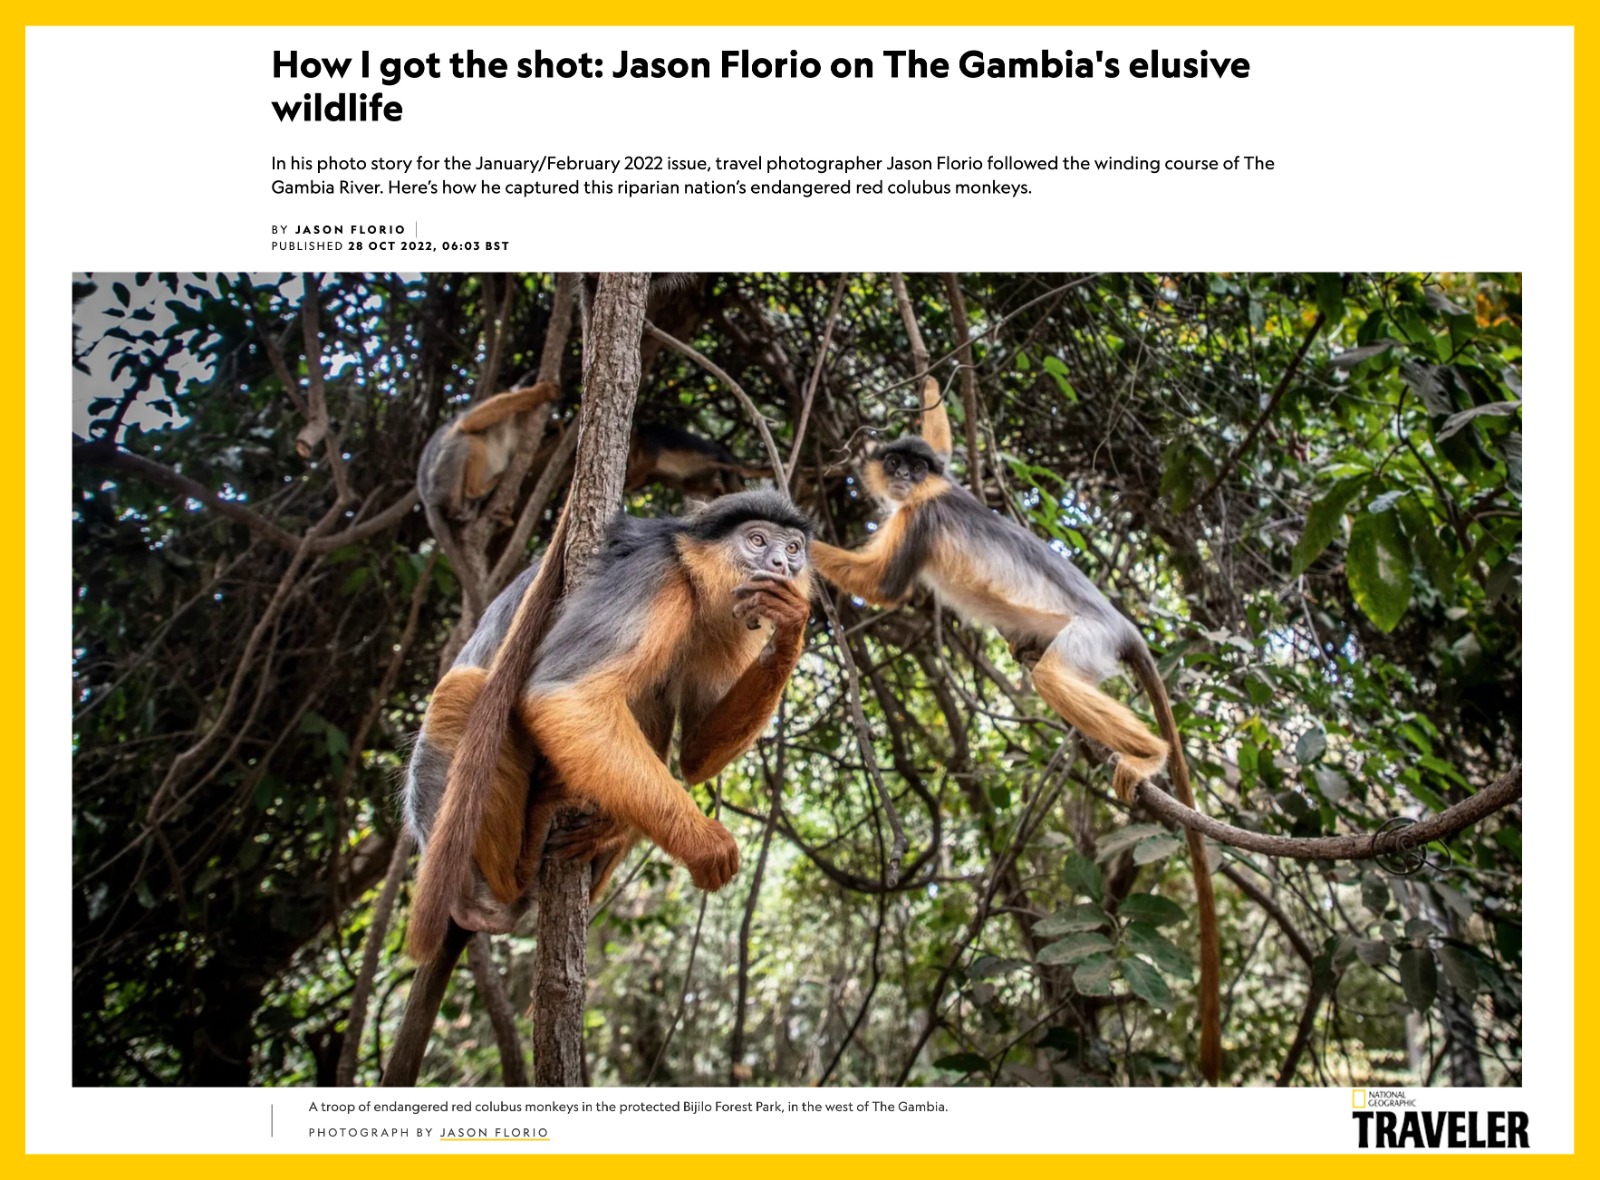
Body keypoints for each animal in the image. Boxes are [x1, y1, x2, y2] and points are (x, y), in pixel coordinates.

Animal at [402, 488, 815, 965]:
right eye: (757, 540)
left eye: (793, 548)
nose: (783, 565)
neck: (695, 583)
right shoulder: (655, 576)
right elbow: (563, 693)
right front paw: (704, 843)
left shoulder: (728, 622)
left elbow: (694, 755)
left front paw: (791, 628)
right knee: (461, 691)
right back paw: (501, 885)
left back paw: (599, 831)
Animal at [807, 379, 1223, 1085]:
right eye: (898, 460)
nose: (902, 476)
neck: (928, 493)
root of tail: (1124, 624)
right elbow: (944, 433)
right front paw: (931, 383)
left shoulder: (919, 517)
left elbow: (883, 587)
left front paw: (779, 531)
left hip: (1090, 640)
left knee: (1056, 678)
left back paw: (1149, 755)